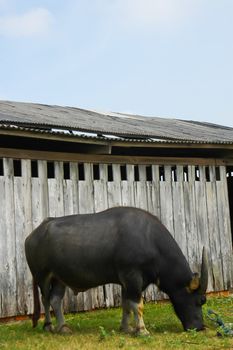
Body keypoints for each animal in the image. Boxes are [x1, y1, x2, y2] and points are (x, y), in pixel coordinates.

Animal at [25, 206, 208, 334]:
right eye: (200, 301)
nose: (199, 327)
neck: (150, 240)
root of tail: (33, 235)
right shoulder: (132, 277)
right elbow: (137, 304)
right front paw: (142, 330)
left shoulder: (127, 282)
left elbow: (126, 304)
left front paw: (126, 328)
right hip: (42, 276)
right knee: (46, 299)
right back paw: (48, 326)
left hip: (59, 278)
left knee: (56, 299)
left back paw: (63, 327)